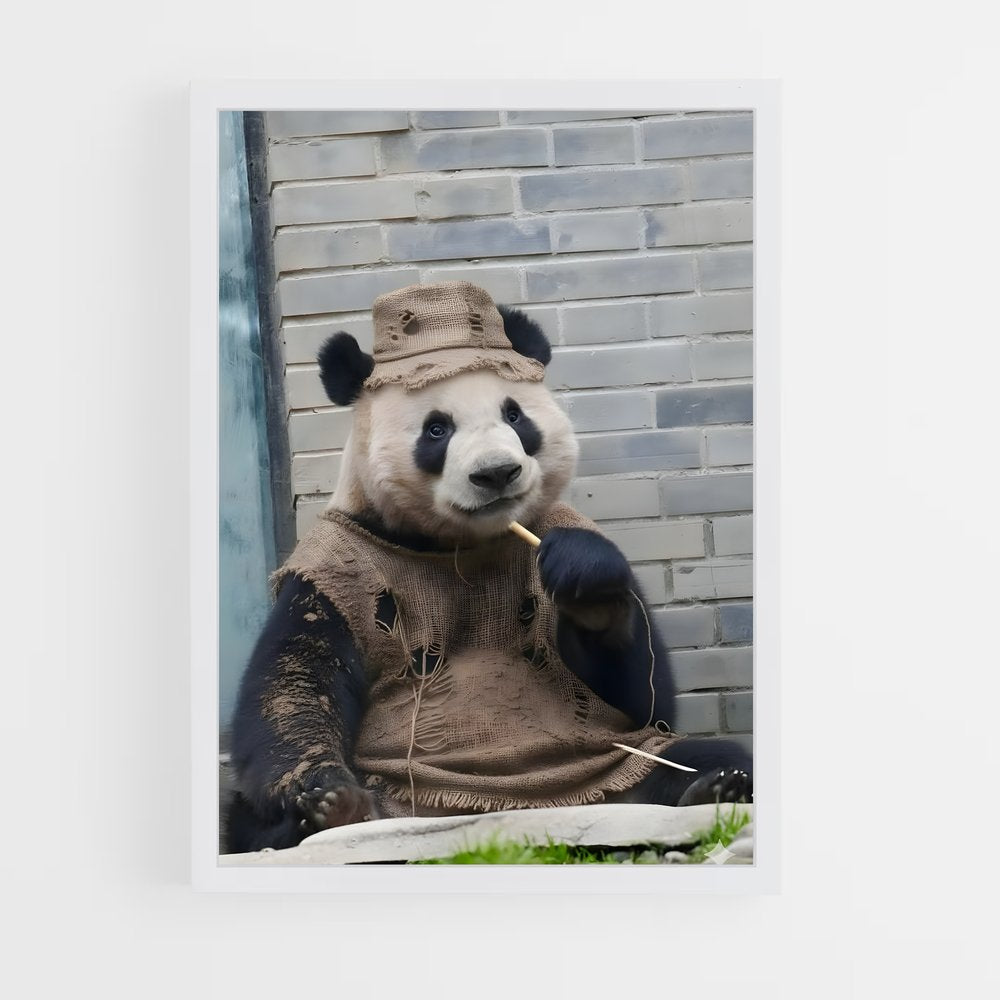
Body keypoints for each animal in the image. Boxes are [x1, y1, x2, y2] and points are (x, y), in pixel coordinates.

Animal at [225, 282, 752, 854]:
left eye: (516, 416)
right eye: (436, 430)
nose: (497, 473)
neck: (454, 544)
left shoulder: (561, 526)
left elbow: (644, 698)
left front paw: (584, 580)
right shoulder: (335, 564)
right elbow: (294, 681)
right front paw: (327, 791)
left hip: (607, 767)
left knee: (686, 756)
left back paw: (713, 788)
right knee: (243, 813)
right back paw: (334, 815)